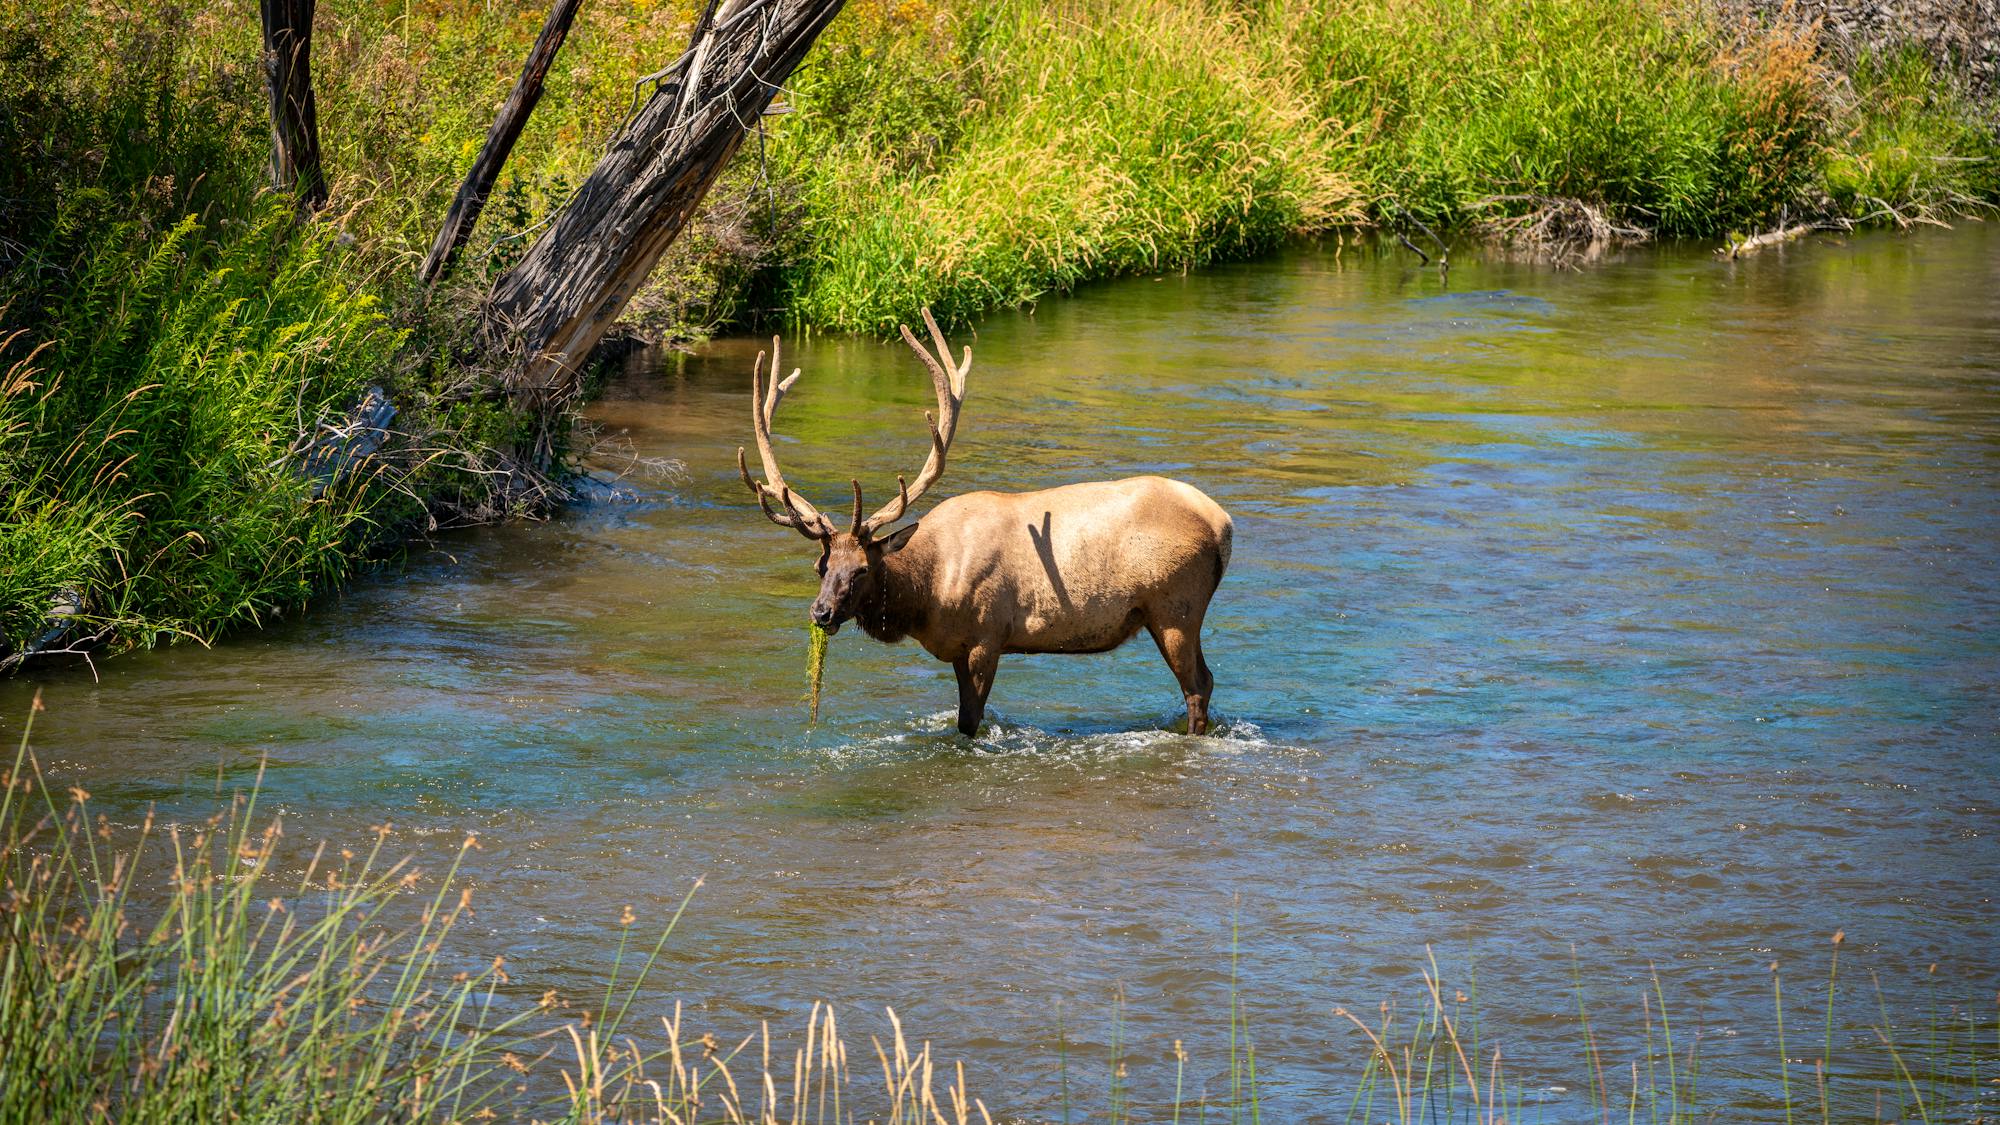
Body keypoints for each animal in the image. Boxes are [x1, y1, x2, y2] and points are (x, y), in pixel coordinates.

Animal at [738, 311, 1234, 737]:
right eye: (820, 567)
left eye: (862, 569)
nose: (820, 613)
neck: (927, 591)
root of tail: (1223, 525)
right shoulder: (958, 646)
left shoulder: (986, 637)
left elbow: (970, 721)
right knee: (1206, 681)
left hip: (1175, 608)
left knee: (1198, 685)